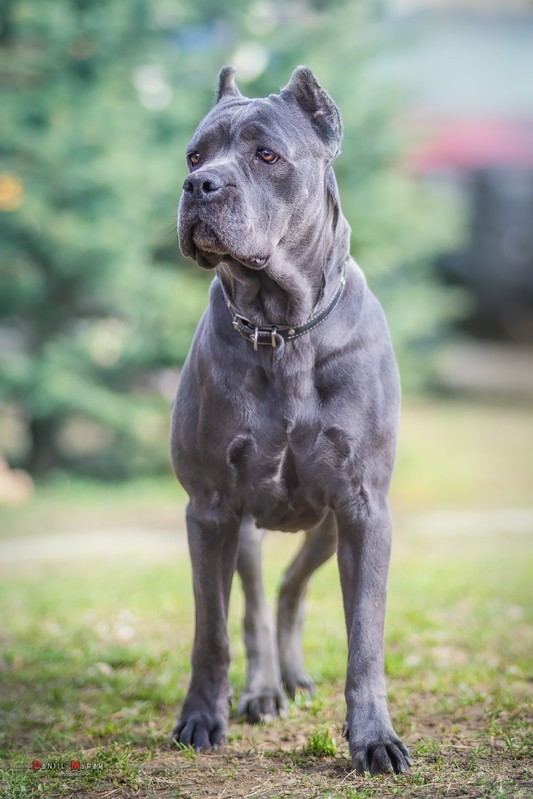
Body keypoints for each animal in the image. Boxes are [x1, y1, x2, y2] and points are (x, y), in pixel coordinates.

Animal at [168, 65, 410, 780]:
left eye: (266, 156)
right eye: (194, 156)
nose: (199, 186)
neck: (284, 329)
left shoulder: (363, 508)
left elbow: (365, 639)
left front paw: (373, 738)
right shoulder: (209, 508)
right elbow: (213, 631)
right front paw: (202, 718)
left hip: (327, 527)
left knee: (289, 590)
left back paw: (294, 677)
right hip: (245, 528)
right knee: (253, 606)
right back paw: (264, 690)